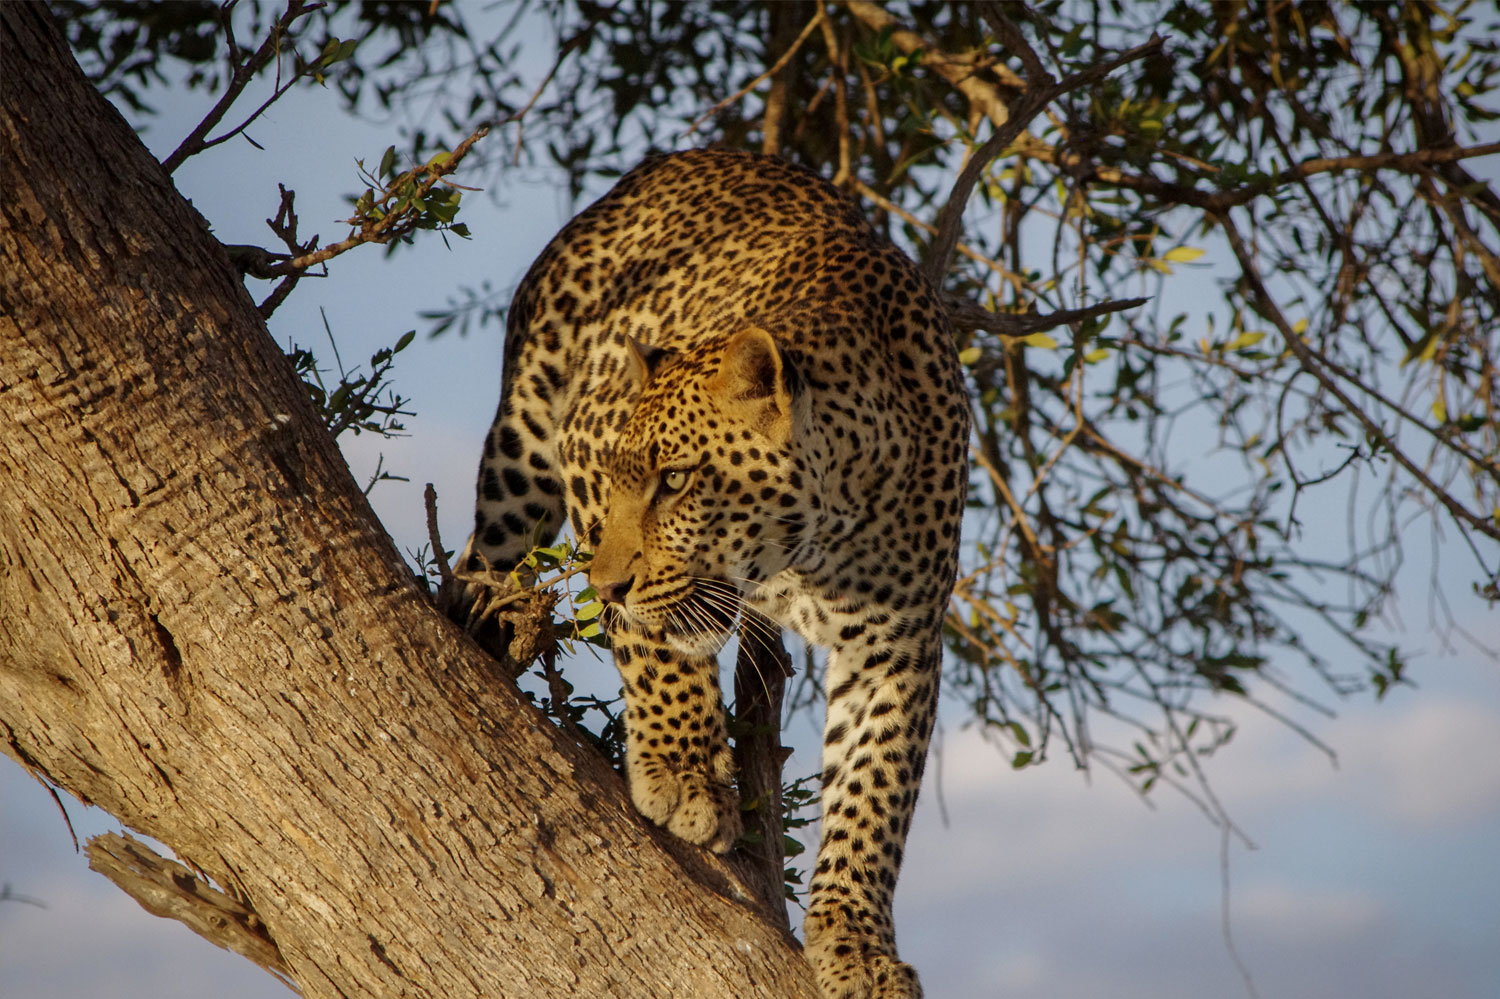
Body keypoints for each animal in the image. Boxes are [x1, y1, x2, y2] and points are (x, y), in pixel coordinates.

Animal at [459, 147, 972, 996]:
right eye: (626, 476)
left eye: (674, 481)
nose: (605, 585)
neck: (815, 542)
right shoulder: (584, 443)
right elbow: (654, 646)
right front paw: (683, 773)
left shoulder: (898, 643)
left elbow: (873, 794)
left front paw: (856, 943)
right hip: (524, 447)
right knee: (481, 557)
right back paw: (481, 621)